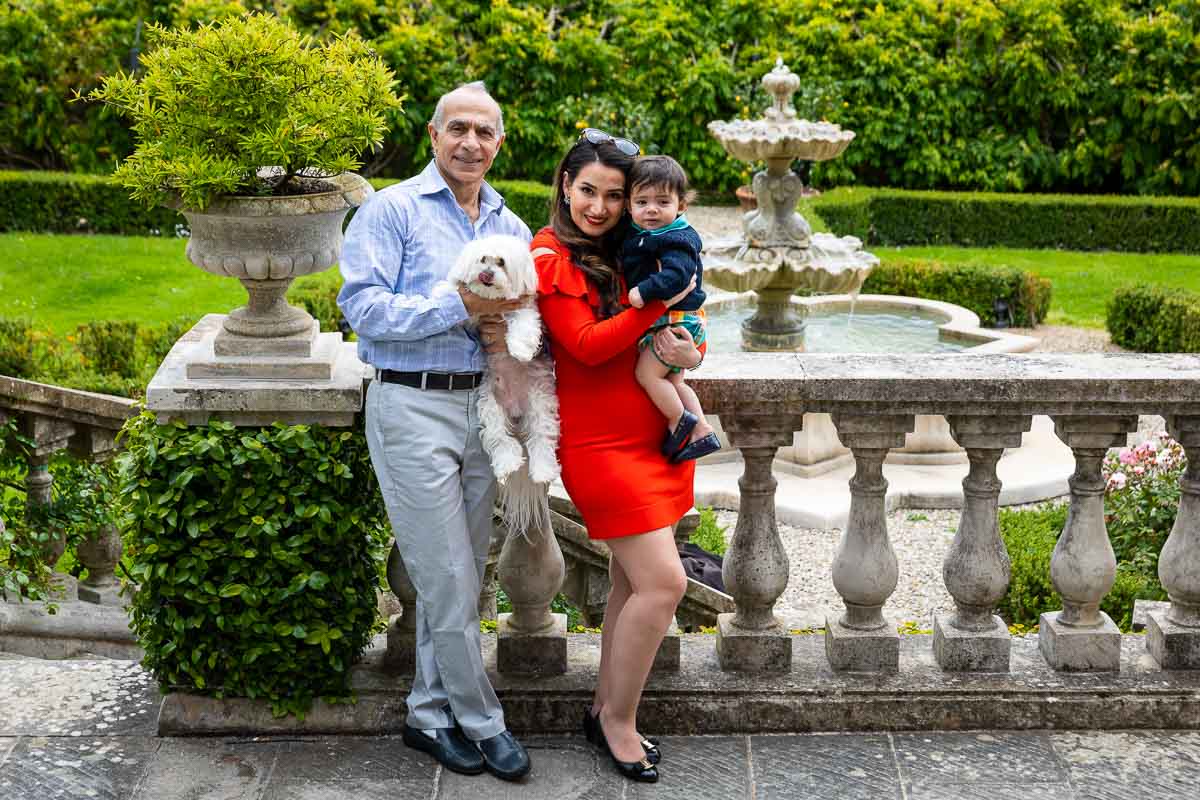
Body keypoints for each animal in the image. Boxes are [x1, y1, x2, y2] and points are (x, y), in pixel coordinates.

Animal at [434, 235, 559, 542]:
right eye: (482, 259)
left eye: (501, 262)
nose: (486, 275)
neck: (494, 303)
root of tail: (515, 409)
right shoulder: (475, 316)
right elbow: (458, 300)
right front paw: (443, 291)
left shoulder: (524, 308)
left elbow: (524, 325)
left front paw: (521, 350)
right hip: (489, 405)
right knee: (501, 440)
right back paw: (507, 464)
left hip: (540, 402)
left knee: (541, 441)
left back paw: (541, 470)